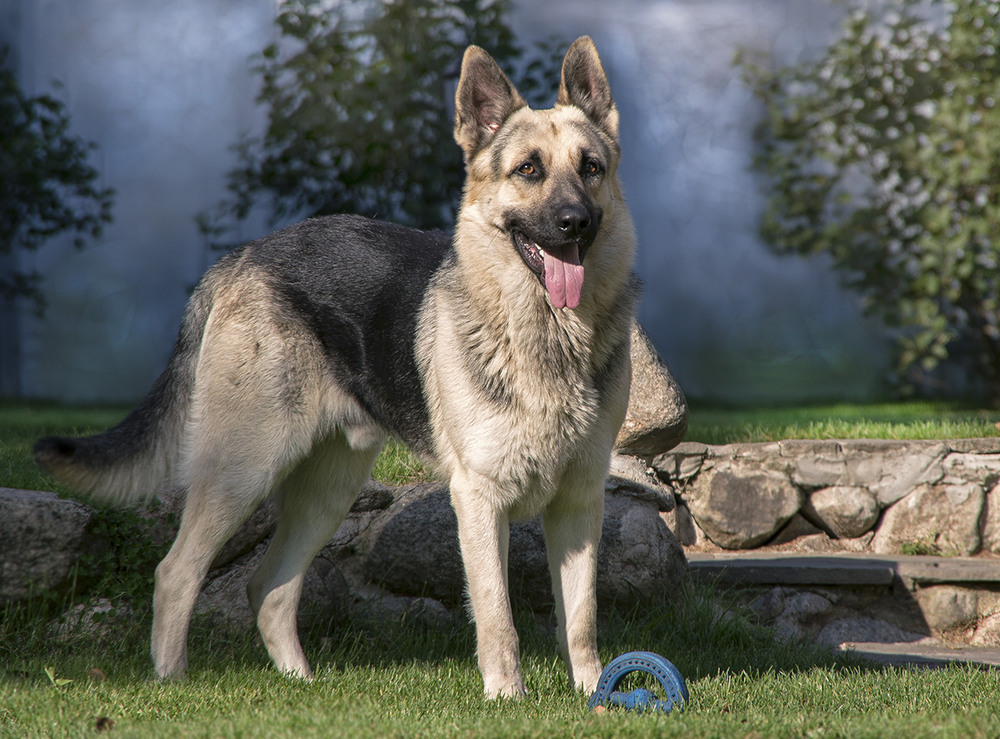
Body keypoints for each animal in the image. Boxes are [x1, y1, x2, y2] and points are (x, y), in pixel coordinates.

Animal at [37, 37, 640, 700]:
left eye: (591, 168)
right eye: (528, 170)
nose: (575, 222)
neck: (546, 336)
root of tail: (244, 254)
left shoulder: (580, 502)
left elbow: (580, 617)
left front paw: (596, 695)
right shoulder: (480, 500)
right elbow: (497, 615)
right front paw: (507, 698)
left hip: (330, 490)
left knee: (268, 588)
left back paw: (299, 686)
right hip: (244, 469)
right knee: (177, 572)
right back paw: (173, 684)